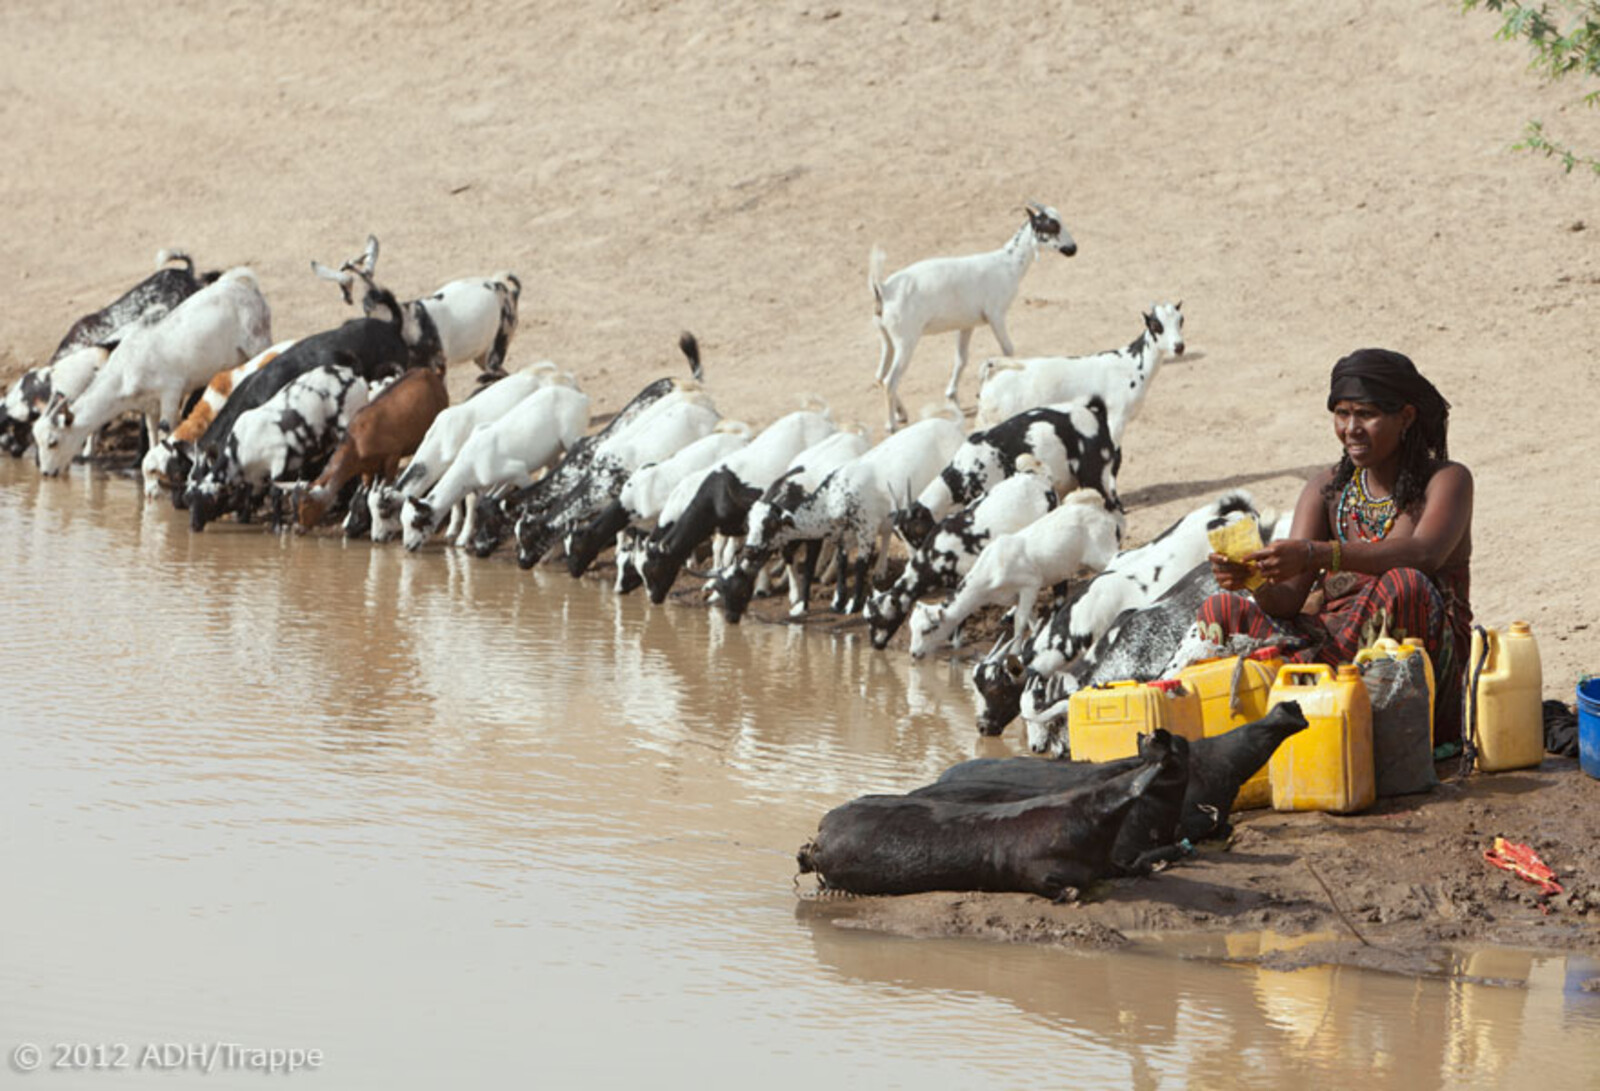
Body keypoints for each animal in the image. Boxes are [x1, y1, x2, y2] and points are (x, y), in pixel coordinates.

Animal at [296, 364, 448, 527]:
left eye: (306, 504)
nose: (300, 527)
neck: (356, 443)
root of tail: (433, 374)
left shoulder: (392, 456)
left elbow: (388, 485)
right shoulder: (366, 470)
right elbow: (363, 492)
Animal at [318, 233, 524, 374]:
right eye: (365, 304)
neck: (408, 320)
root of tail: (503, 288)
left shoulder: (438, 364)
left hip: (498, 346)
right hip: (481, 356)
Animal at [966, 299, 1184, 435]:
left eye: (1181, 320)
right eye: (1156, 325)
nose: (1179, 347)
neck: (1130, 364)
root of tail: (991, 374)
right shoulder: (1116, 418)